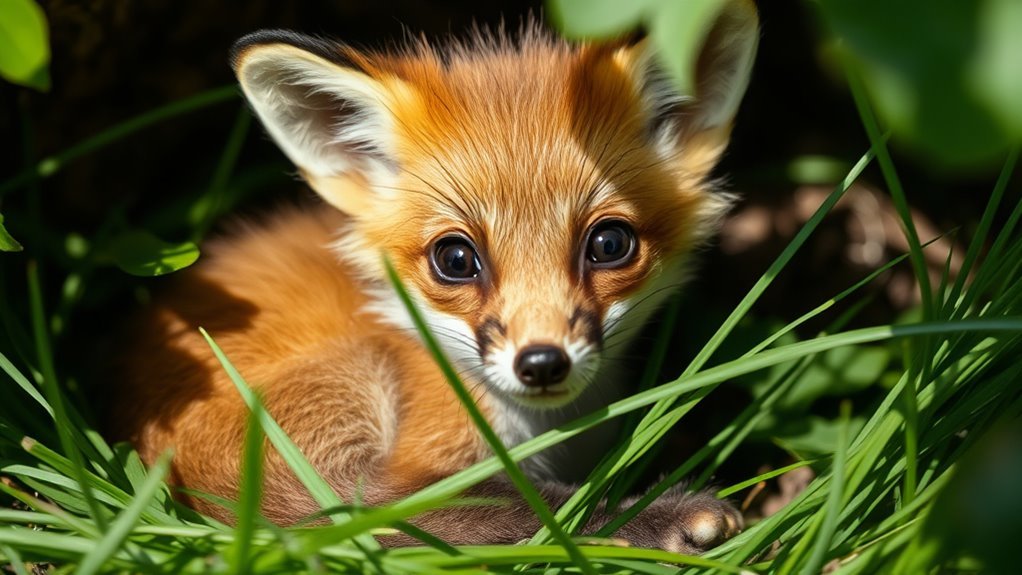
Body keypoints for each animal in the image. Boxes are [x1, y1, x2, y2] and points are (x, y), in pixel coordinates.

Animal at [108, 0, 759, 553]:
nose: (541, 362)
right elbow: (522, 507)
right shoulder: (420, 459)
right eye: (455, 259)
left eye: (609, 244)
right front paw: (653, 517)